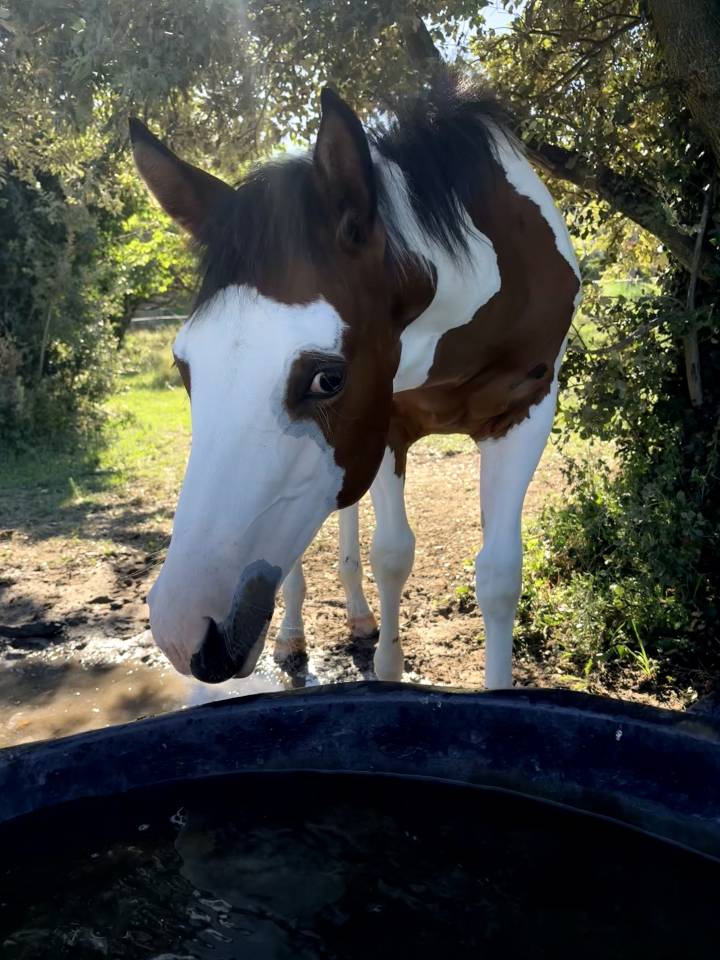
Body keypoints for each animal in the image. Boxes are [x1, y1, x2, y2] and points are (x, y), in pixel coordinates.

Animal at [130, 75, 580, 690]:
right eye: (185, 367)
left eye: (329, 378)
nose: (184, 633)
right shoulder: (388, 424)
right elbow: (391, 554)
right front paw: (388, 670)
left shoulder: (525, 411)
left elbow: (498, 576)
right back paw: (295, 634)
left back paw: (360, 616)